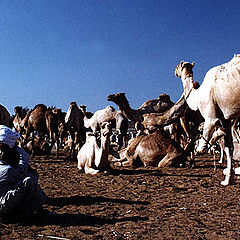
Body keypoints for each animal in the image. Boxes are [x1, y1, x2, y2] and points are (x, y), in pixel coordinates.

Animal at [142, 54, 240, 186]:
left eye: (178, 66)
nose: (175, 71)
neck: (197, 96)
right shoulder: (226, 119)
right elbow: (229, 147)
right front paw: (227, 179)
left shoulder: (211, 116)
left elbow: (203, 146)